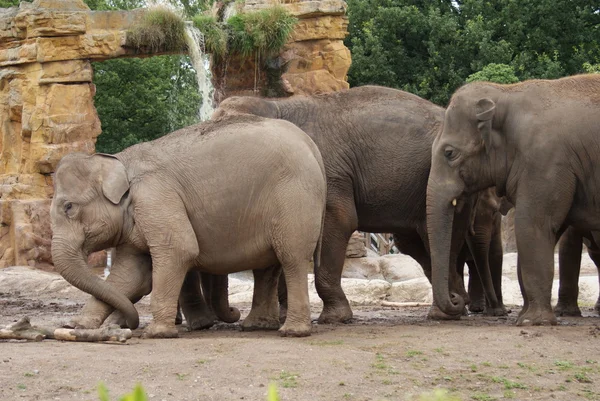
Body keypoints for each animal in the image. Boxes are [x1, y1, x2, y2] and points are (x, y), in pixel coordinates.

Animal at [49, 114, 326, 336]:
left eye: (69, 207)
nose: (127, 325)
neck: (118, 160)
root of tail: (310, 144)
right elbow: (129, 273)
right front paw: (76, 326)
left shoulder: (156, 197)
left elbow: (180, 250)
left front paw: (157, 333)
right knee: (268, 267)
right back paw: (256, 326)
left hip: (294, 198)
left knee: (292, 257)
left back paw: (292, 331)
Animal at [211, 85, 506, 322]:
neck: (274, 104)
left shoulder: (329, 173)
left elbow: (339, 220)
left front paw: (334, 318)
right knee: (416, 243)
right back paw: (453, 306)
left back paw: (447, 311)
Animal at [424, 72, 600, 324]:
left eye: (449, 153)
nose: (457, 300)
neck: (506, 93)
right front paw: (525, 317)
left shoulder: (545, 162)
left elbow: (532, 225)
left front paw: (532, 321)